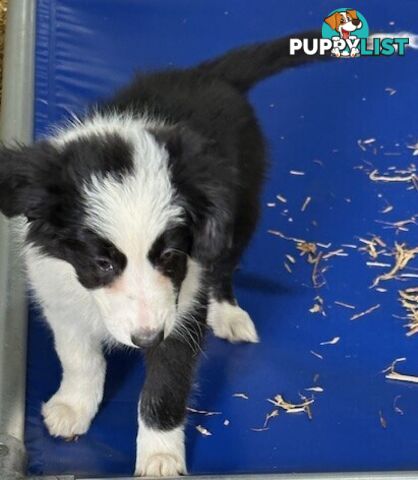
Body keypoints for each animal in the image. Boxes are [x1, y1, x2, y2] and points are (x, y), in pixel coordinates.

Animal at [0, 31, 320, 476]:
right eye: (101, 263)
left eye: (171, 255)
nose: (146, 338)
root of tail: (208, 74)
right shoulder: (59, 296)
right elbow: (79, 357)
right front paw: (74, 406)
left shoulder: (180, 312)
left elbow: (166, 386)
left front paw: (160, 458)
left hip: (242, 207)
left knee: (223, 266)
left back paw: (227, 312)